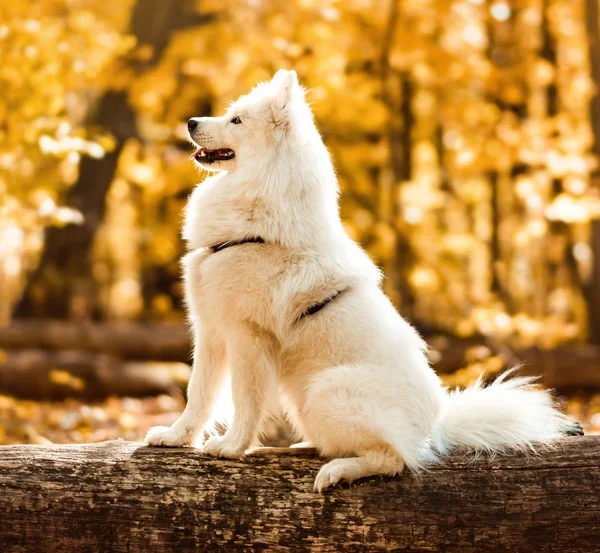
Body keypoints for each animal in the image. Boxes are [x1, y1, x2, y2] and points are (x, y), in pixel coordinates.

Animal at [145, 70, 580, 492]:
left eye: (235, 119)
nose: (190, 122)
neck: (257, 225)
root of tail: (438, 425)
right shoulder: (210, 330)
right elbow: (198, 394)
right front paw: (175, 437)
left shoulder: (247, 337)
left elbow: (244, 399)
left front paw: (233, 446)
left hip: (328, 391)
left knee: (395, 459)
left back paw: (338, 471)